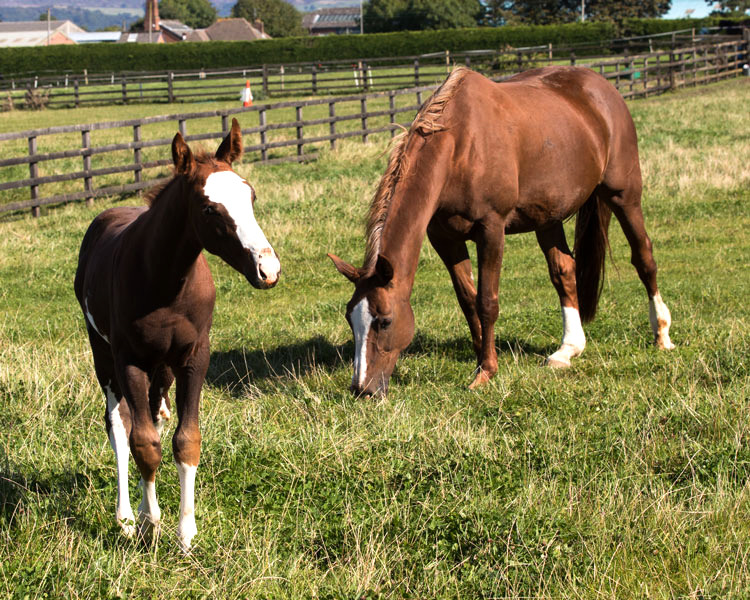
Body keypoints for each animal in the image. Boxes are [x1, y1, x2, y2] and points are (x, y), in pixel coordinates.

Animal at [75, 119, 280, 552]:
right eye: (208, 208)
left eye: (250, 194)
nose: (268, 270)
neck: (165, 281)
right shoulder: (129, 361)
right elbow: (142, 443)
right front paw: (150, 525)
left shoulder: (193, 357)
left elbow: (185, 440)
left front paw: (186, 532)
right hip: (104, 355)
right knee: (120, 425)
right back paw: (126, 516)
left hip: (163, 368)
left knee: (154, 414)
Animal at [328, 67, 676, 394]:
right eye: (350, 319)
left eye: (384, 321)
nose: (362, 389)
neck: (460, 145)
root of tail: (603, 88)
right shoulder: (445, 238)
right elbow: (467, 300)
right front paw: (481, 355)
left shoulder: (491, 229)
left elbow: (487, 301)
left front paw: (486, 371)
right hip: (548, 218)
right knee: (564, 272)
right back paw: (568, 349)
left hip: (623, 195)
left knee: (644, 257)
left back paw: (661, 334)